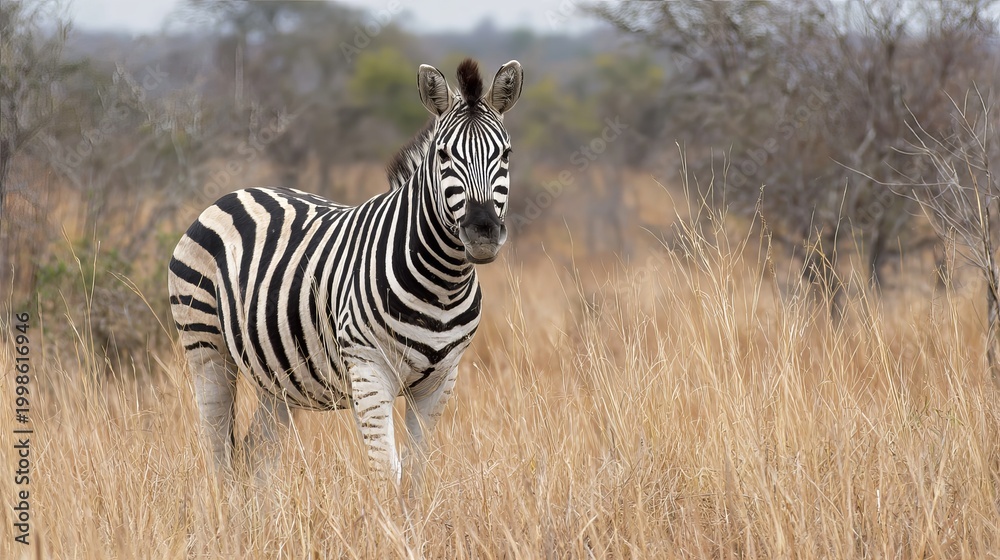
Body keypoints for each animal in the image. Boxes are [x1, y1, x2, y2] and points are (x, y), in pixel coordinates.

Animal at [168, 58, 522, 485]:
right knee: (218, 450)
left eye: (505, 154)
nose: (482, 230)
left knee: (256, 454)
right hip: (205, 347)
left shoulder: (442, 380)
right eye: (443, 155)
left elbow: (415, 477)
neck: (443, 284)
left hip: (277, 373)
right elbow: (386, 474)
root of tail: (237, 192)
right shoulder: (369, 372)